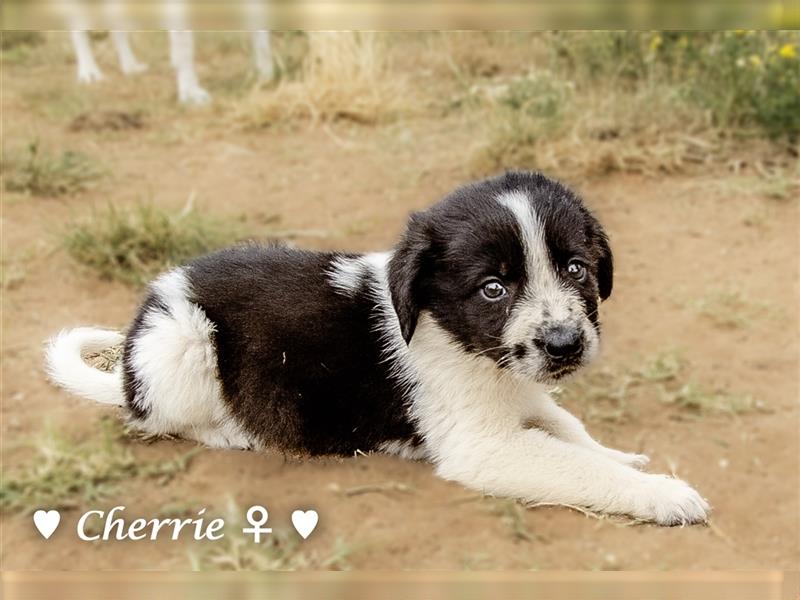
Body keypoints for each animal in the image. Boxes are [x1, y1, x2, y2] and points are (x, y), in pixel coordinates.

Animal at [45, 170, 708, 524]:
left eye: (576, 269)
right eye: (493, 289)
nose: (566, 344)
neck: (457, 337)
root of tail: (130, 370)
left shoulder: (521, 394)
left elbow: (570, 429)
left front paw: (623, 455)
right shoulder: (482, 446)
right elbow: (574, 465)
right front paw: (663, 492)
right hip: (182, 341)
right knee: (164, 420)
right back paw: (235, 431)